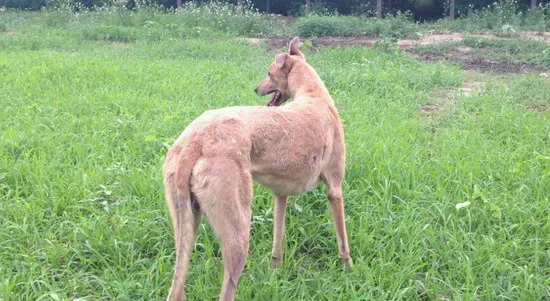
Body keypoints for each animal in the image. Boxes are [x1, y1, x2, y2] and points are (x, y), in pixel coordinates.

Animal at [164, 37, 354, 300]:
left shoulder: (280, 194)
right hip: (238, 231)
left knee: (178, 286)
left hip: (185, 225)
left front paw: (275, 270)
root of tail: (196, 139)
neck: (313, 94)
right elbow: (343, 240)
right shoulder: (335, 190)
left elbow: (277, 238)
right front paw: (350, 270)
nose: (256, 89)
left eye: (268, 73)